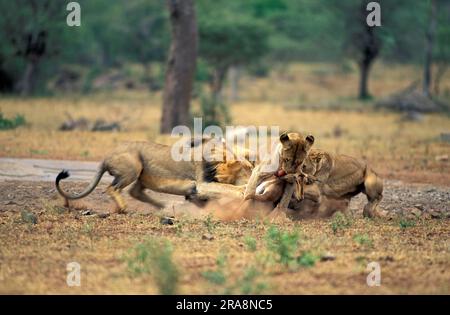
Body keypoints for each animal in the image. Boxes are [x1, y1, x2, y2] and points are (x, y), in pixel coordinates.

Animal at [54, 139, 251, 214]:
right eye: (245, 171)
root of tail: (106, 156)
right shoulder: (202, 183)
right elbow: (226, 188)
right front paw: (241, 189)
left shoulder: (197, 190)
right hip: (134, 166)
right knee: (112, 188)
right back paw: (124, 208)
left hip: (142, 176)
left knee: (134, 192)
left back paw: (163, 206)